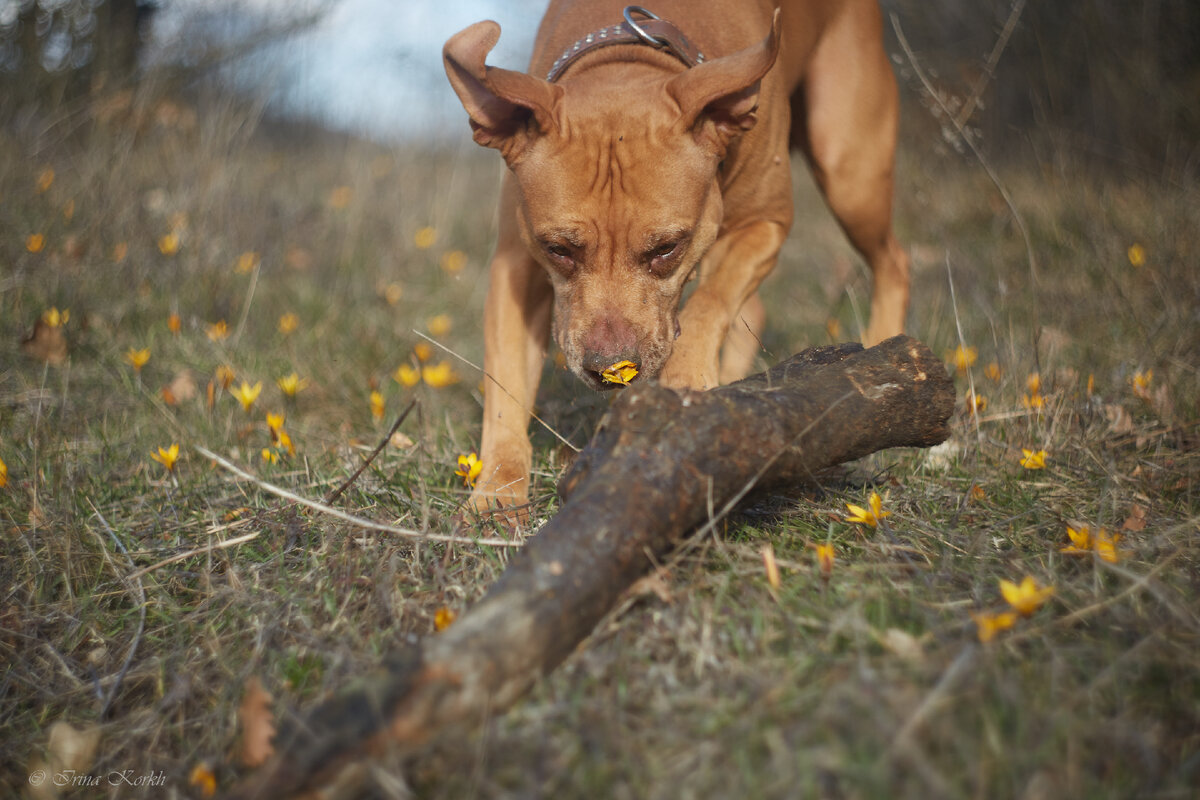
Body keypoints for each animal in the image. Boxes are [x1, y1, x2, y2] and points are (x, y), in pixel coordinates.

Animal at [446, 3, 902, 515]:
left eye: (666, 248)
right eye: (558, 249)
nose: (610, 366)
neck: (628, 56)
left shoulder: (765, 223)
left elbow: (709, 303)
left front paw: (686, 383)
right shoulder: (516, 264)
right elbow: (506, 385)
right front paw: (496, 493)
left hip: (849, 171)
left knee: (893, 260)